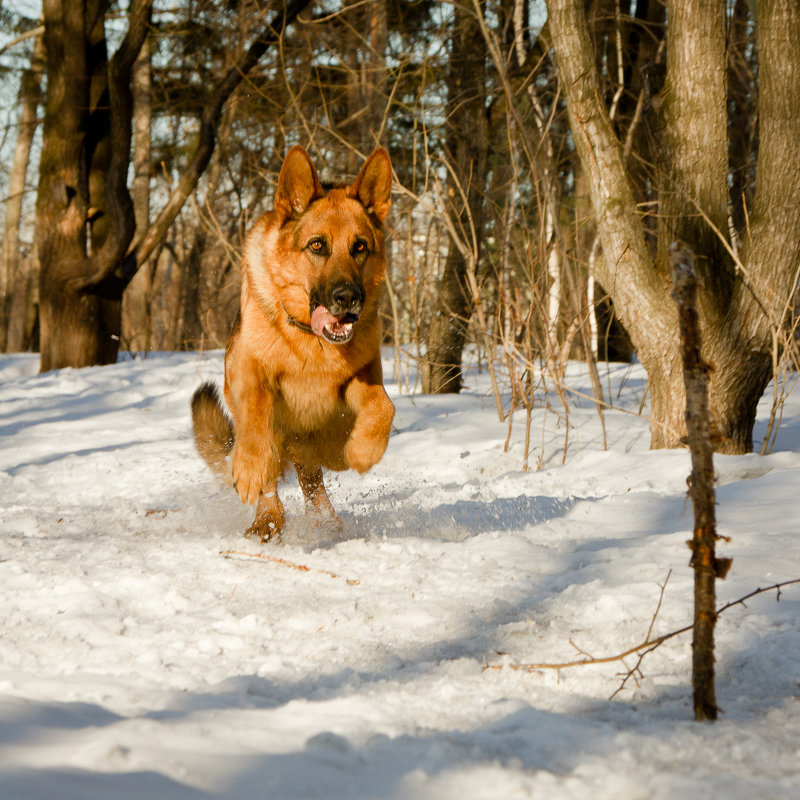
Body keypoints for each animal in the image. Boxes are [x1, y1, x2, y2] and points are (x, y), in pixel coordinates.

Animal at [191, 147, 396, 540]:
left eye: (360, 247)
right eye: (317, 245)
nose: (349, 298)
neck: (310, 341)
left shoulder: (362, 377)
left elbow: (383, 406)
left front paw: (363, 450)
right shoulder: (247, 369)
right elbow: (257, 413)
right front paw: (251, 470)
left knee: (313, 483)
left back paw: (327, 523)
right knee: (275, 473)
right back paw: (266, 517)